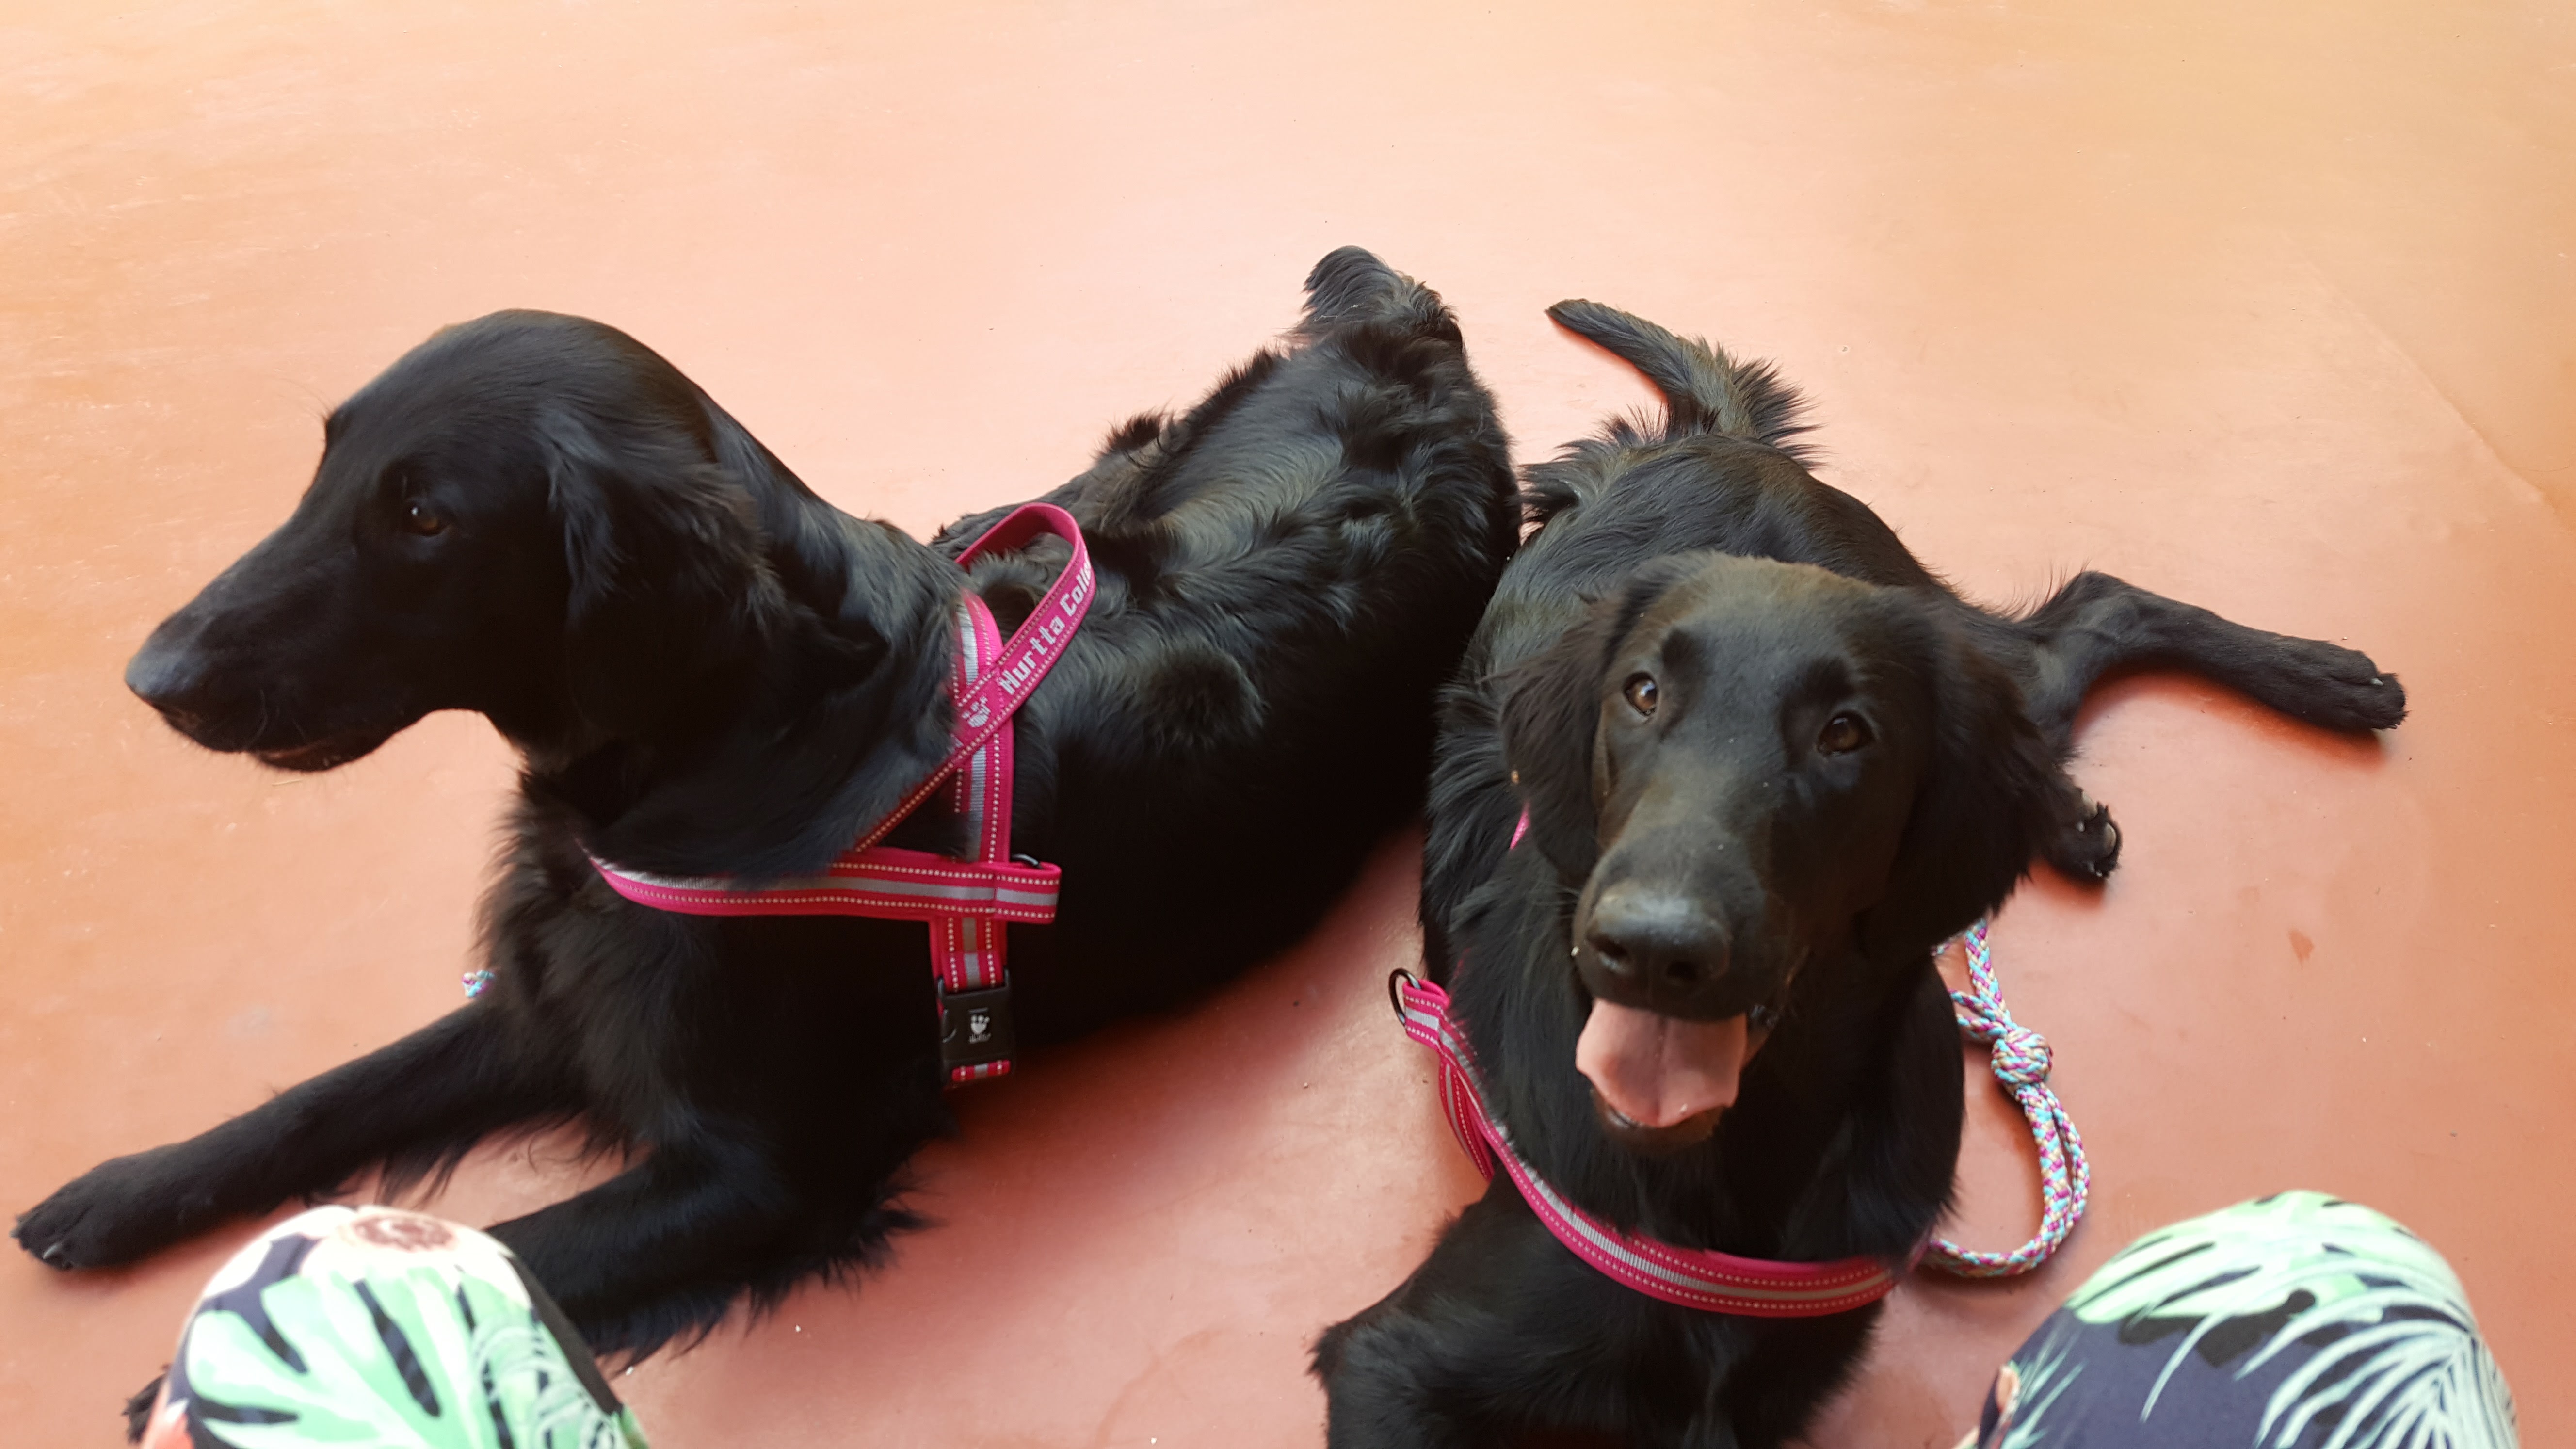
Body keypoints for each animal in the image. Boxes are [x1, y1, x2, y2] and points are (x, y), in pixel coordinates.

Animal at [16, 248, 1519, 1364]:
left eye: (426, 516)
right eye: (326, 462)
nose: (153, 675)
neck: (761, 738)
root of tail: (1415, 333)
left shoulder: (753, 1167)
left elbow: (506, 1246)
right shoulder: (563, 990)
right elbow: (326, 1098)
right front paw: (121, 1192)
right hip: (1133, 465)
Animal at [1312, 300, 2405, 1448]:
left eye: (1846, 734)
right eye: (1641, 694)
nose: (1650, 948)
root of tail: (1711, 442)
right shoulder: (1393, 1361)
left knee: (2094, 610)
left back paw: (2324, 681)